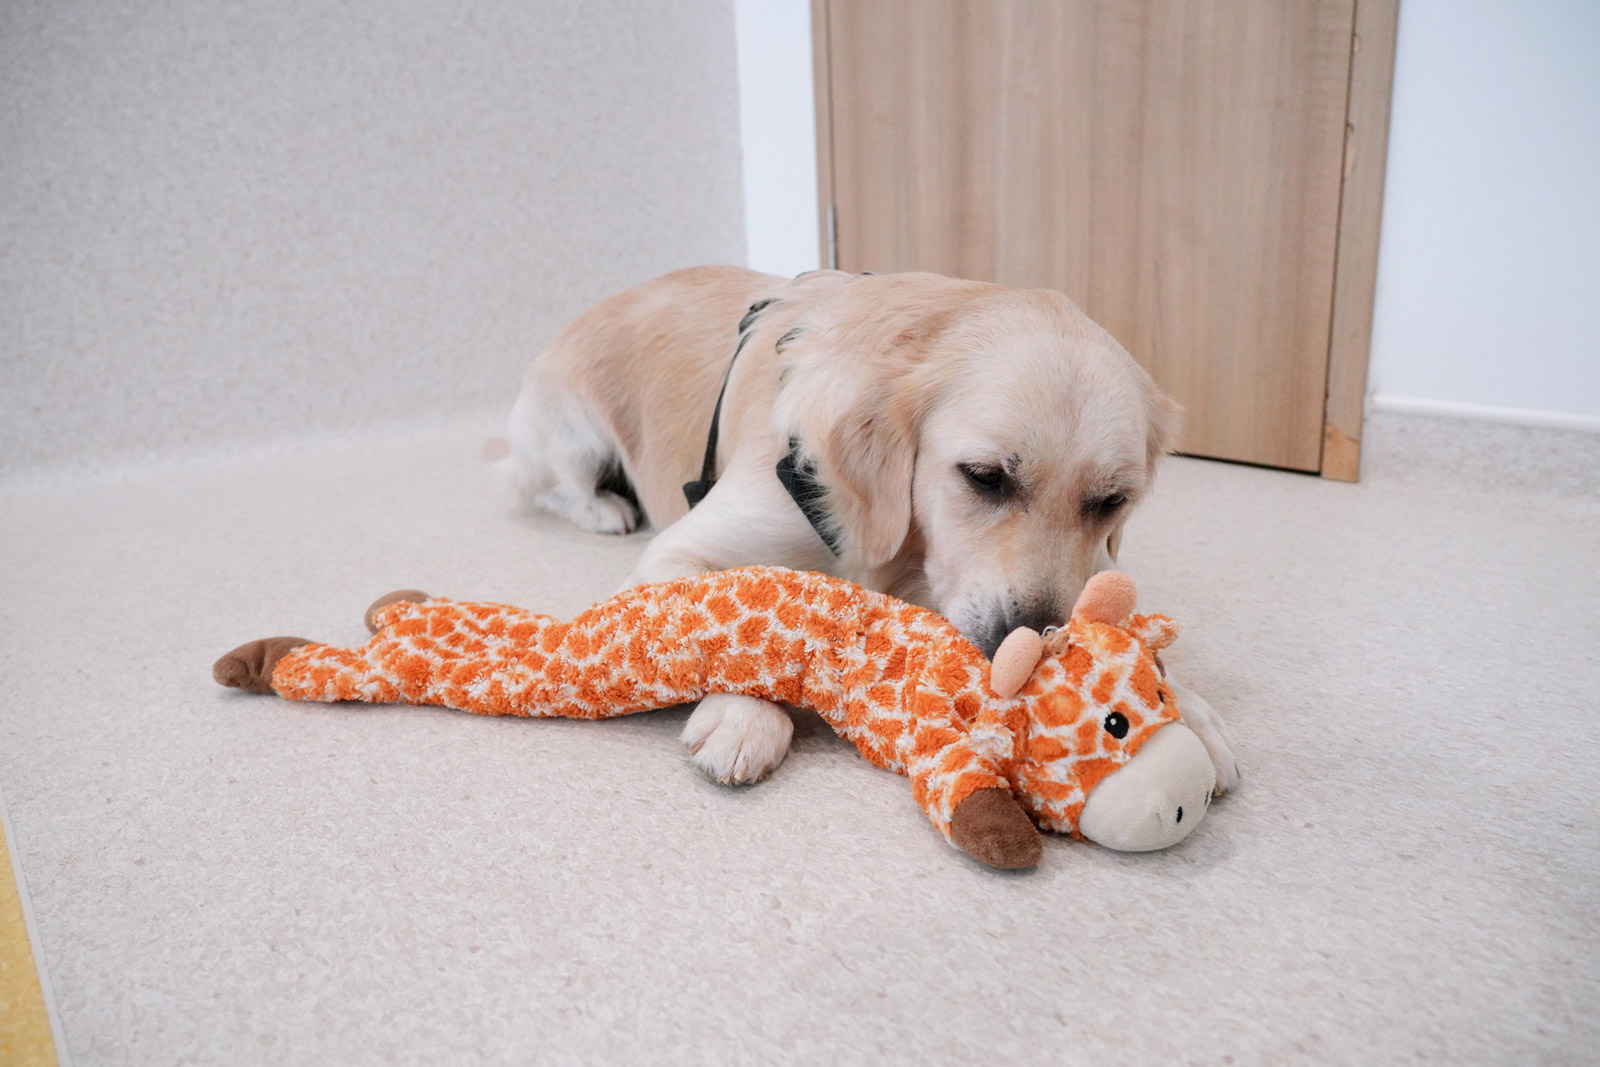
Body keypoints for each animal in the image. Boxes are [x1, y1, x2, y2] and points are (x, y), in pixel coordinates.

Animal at [512, 267, 1235, 793]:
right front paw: (744, 719)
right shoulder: (680, 549)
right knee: (547, 483)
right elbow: (727, 620)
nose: (1030, 646)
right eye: (984, 477)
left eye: (1111, 500)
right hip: (572, 432)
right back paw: (604, 507)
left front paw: (1186, 707)